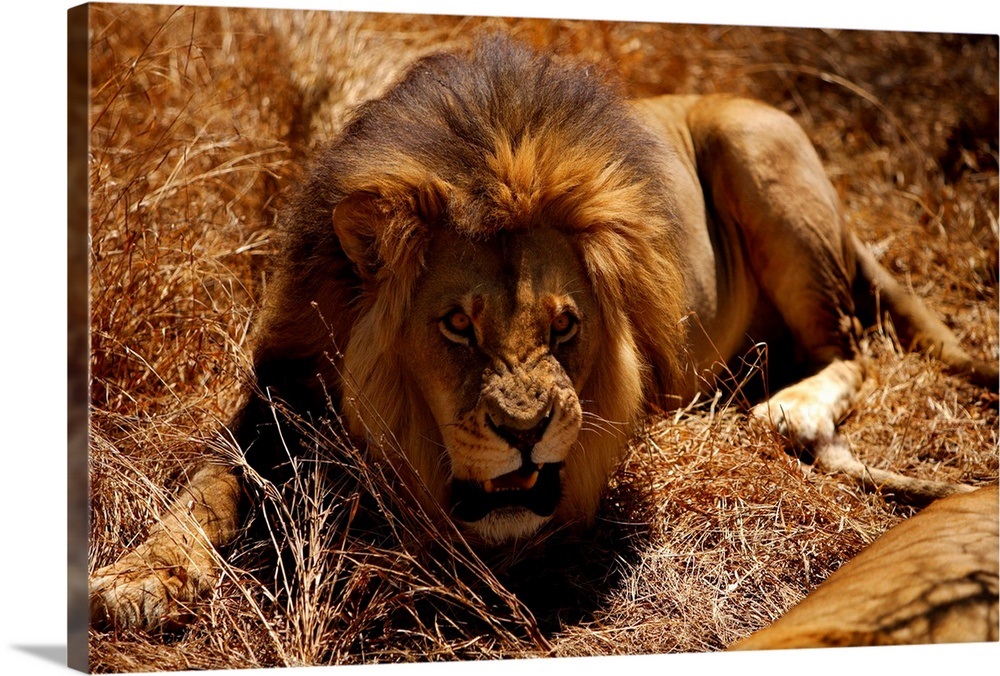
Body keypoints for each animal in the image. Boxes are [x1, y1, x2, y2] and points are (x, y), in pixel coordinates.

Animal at [90, 37, 996, 636]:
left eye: (566, 325)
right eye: (457, 325)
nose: (525, 434)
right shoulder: (282, 389)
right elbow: (204, 490)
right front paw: (134, 580)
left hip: (759, 148)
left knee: (850, 349)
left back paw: (792, 410)